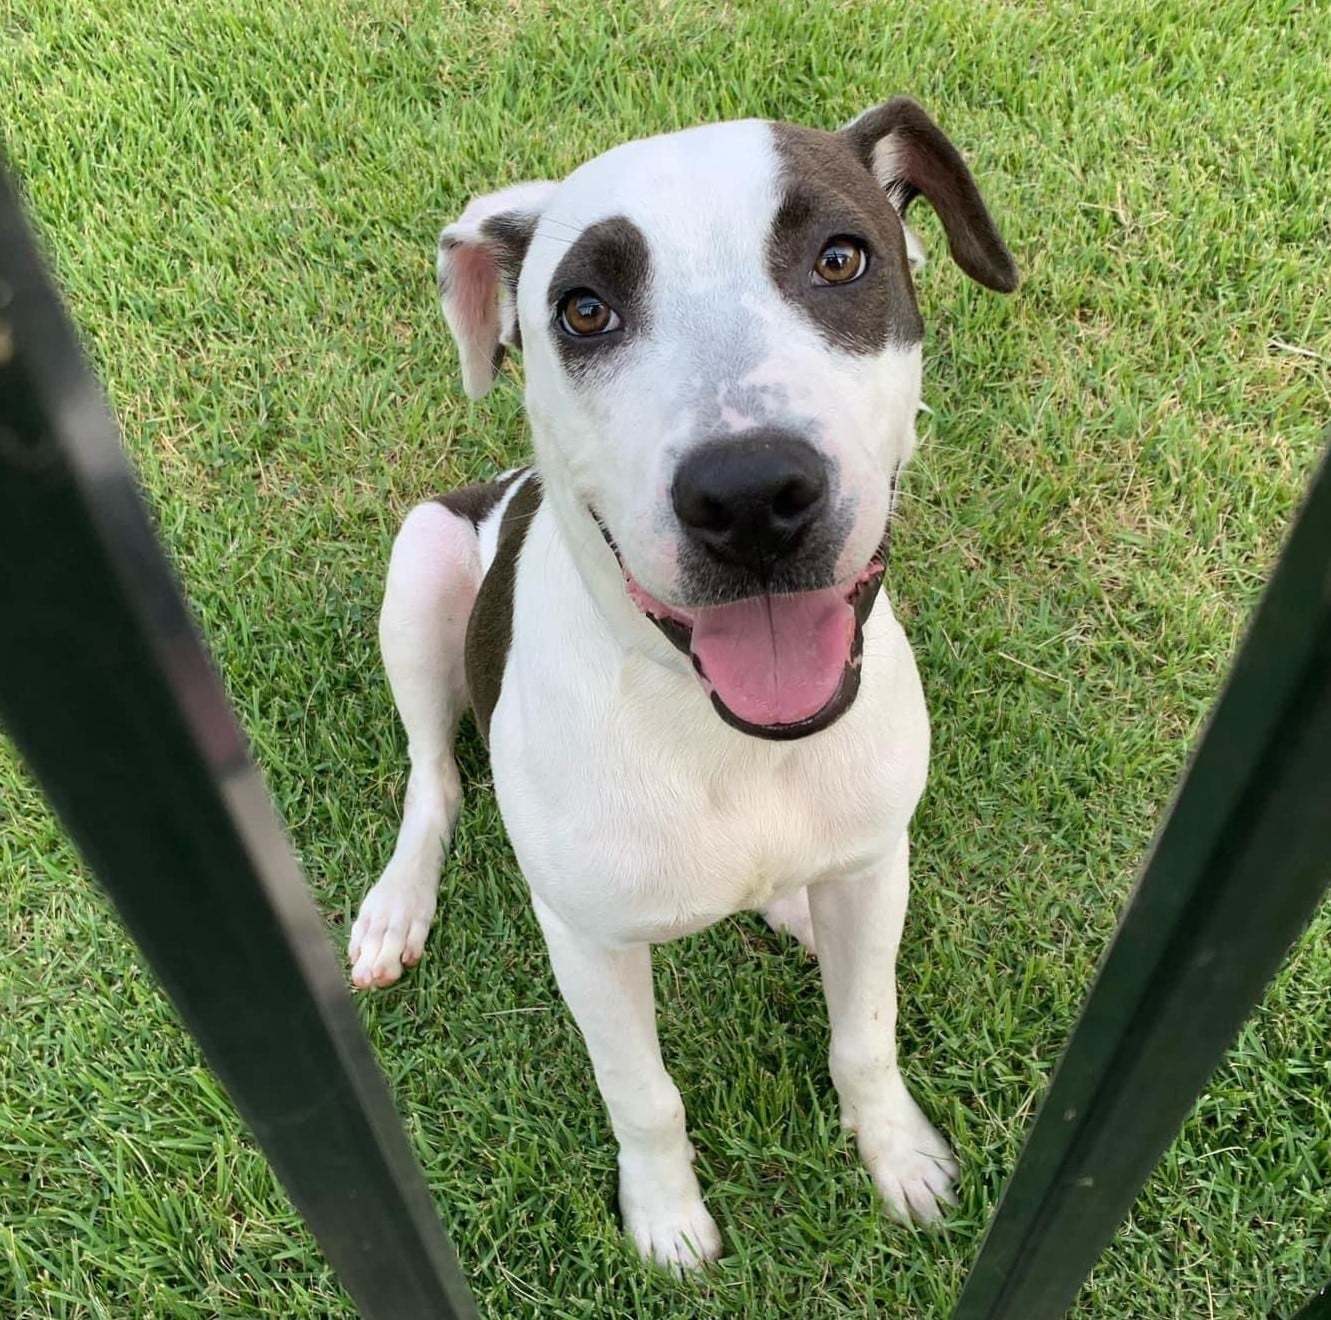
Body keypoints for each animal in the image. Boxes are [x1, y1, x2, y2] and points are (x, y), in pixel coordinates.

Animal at [348, 97, 1011, 1272]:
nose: (749, 495)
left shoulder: (872, 865)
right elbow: (641, 1094)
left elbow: (864, 1034)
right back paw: (395, 907)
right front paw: (665, 1219)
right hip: (419, 564)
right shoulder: (588, 943)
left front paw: (897, 1156)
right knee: (433, 777)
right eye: (583, 310)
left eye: (841, 257)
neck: (723, 734)